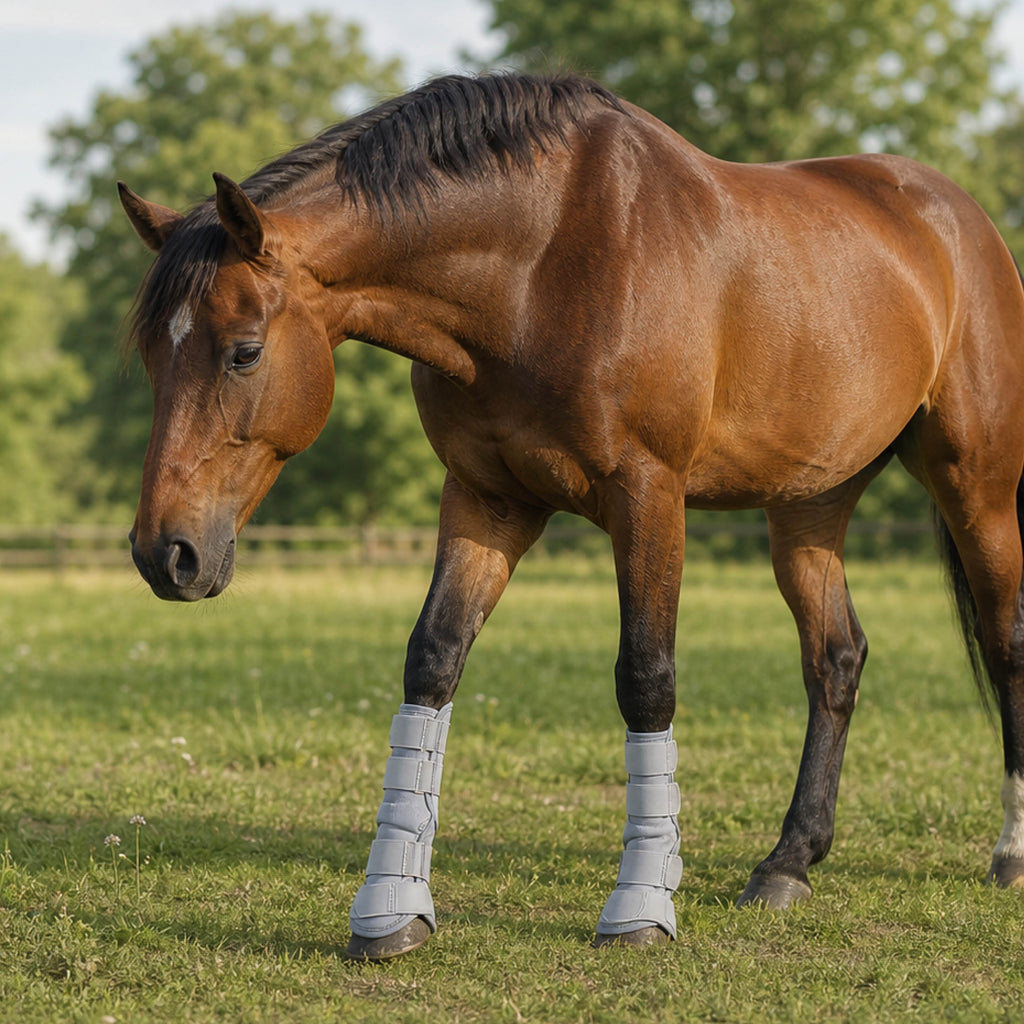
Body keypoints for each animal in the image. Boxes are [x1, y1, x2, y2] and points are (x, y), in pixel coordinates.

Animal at [118, 72, 1024, 960]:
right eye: (150, 358)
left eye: (244, 351)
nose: (166, 553)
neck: (540, 265)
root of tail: (954, 216)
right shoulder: (486, 498)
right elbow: (432, 661)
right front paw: (390, 909)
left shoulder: (647, 495)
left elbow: (646, 679)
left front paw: (640, 908)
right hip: (809, 504)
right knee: (835, 660)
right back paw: (788, 862)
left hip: (977, 487)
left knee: (1004, 642)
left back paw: (1009, 854)